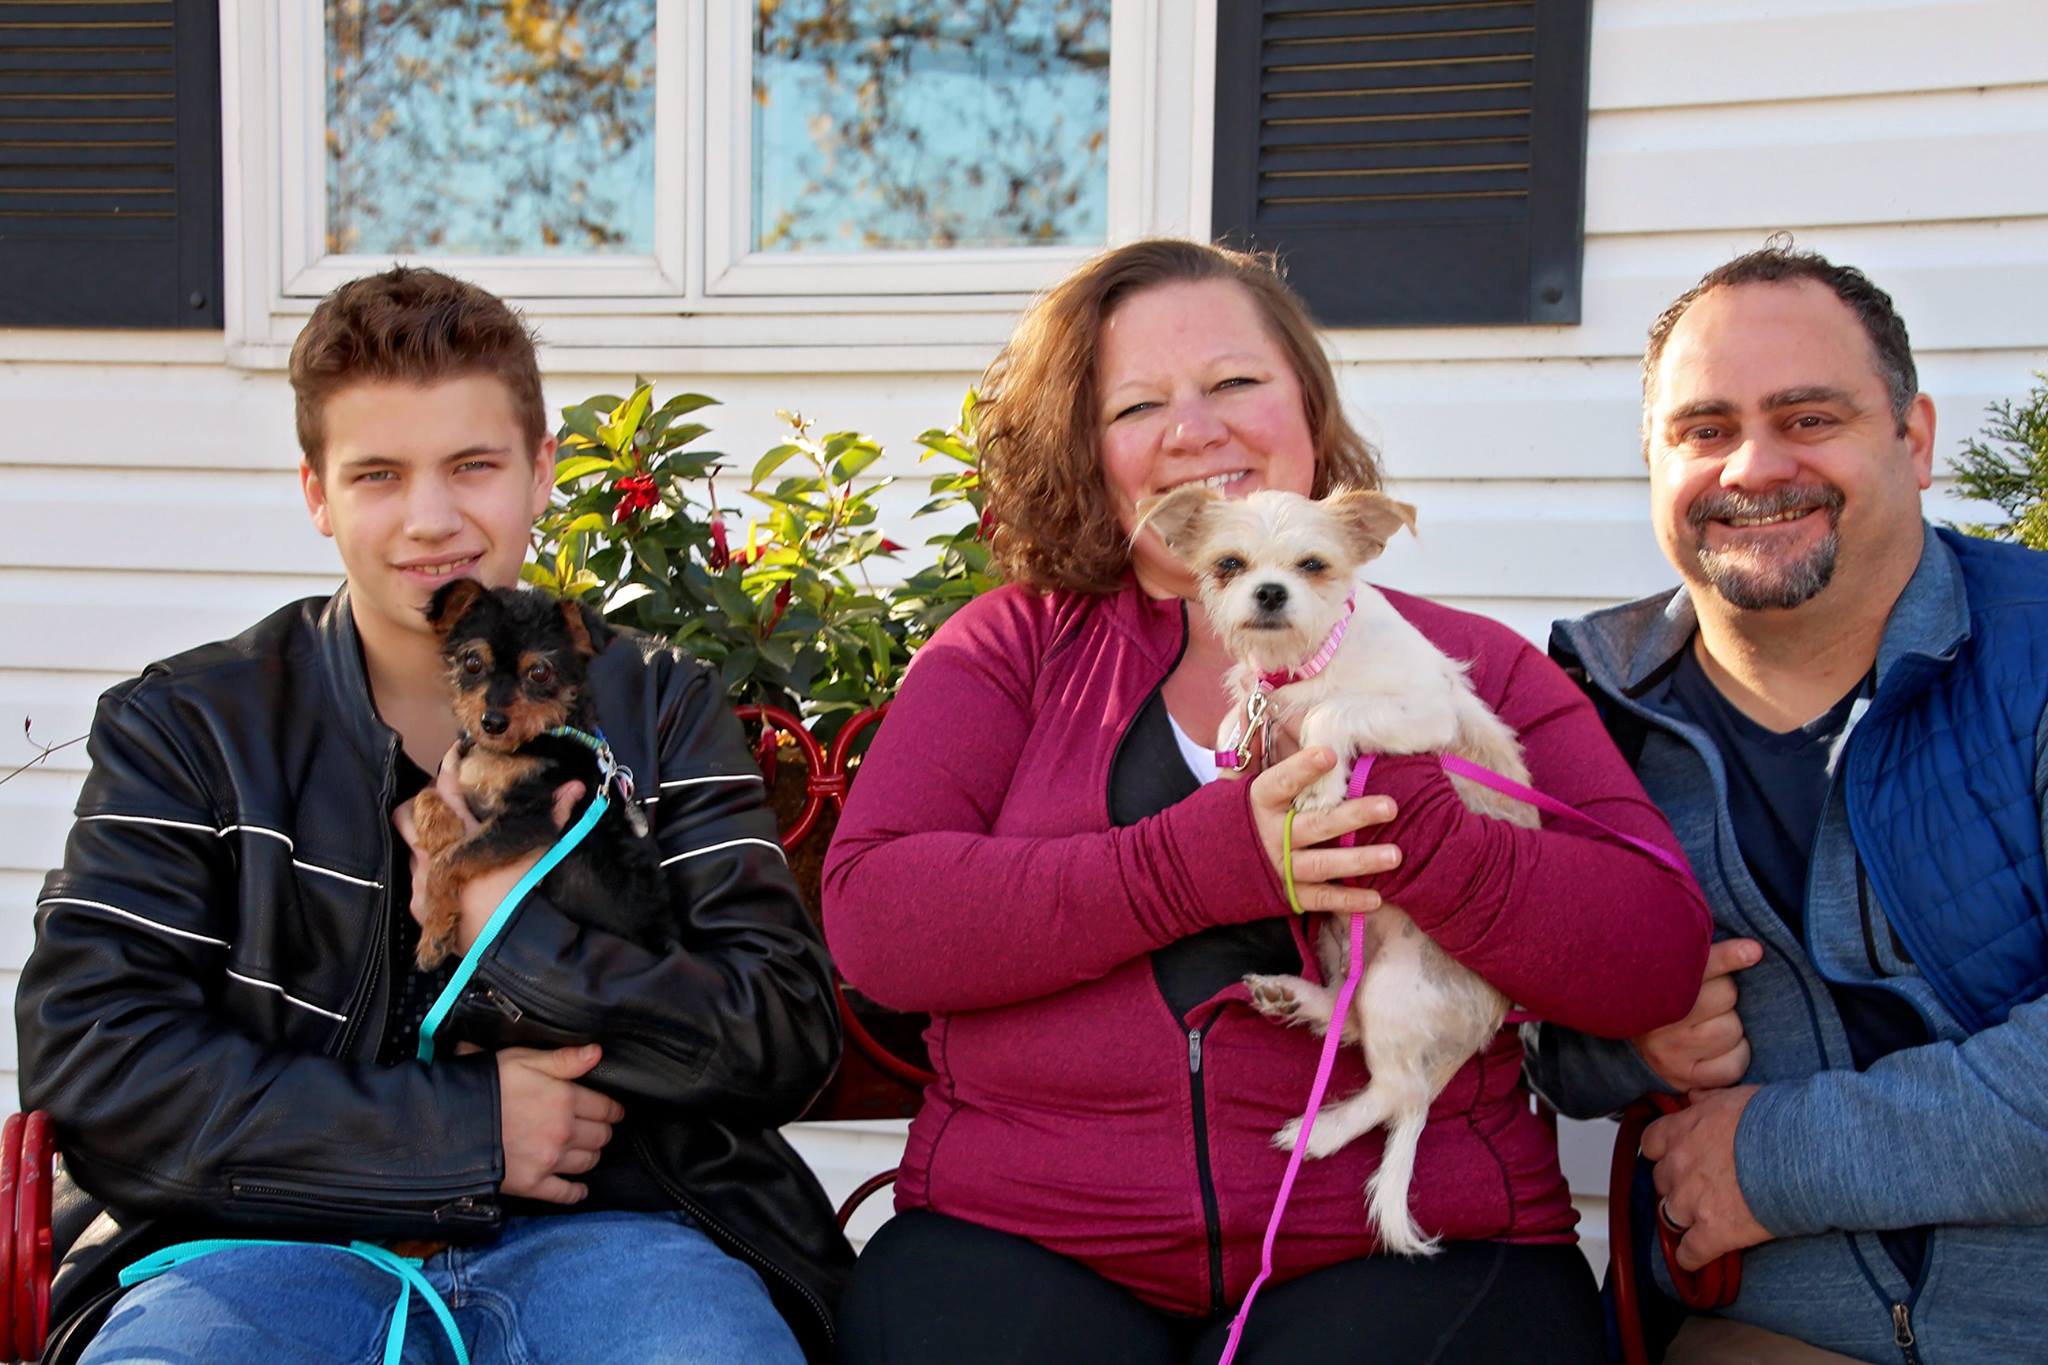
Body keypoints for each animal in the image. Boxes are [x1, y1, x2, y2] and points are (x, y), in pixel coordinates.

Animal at [411, 581, 667, 970]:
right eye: (472, 662)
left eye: (539, 673)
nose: (492, 722)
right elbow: (424, 794)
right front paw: (441, 827)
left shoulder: (531, 818)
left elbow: (447, 861)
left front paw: (434, 935)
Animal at [1138, 489, 1540, 1260]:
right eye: (1228, 564)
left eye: (1313, 566)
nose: (1269, 592)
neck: (1305, 663)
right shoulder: (1262, 699)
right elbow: (1239, 718)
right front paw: (1233, 755)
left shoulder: (1419, 711)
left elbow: (1332, 712)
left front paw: (1323, 786)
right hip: (1337, 942)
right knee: (1349, 1025)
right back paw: (1292, 997)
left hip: (1396, 986)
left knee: (1397, 1090)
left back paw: (1319, 1131)